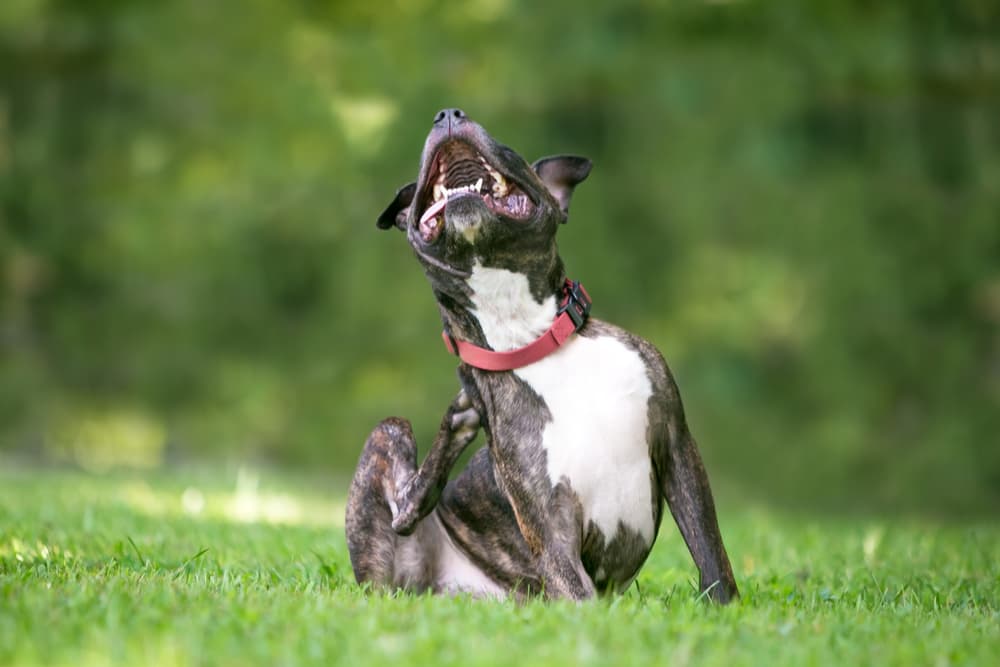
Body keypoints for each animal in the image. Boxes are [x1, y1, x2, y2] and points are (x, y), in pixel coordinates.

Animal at [348, 108, 740, 600]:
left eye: (508, 148)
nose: (448, 113)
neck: (528, 338)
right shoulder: (549, 525)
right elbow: (578, 592)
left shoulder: (677, 446)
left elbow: (711, 556)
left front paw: (724, 610)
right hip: (390, 466)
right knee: (401, 513)